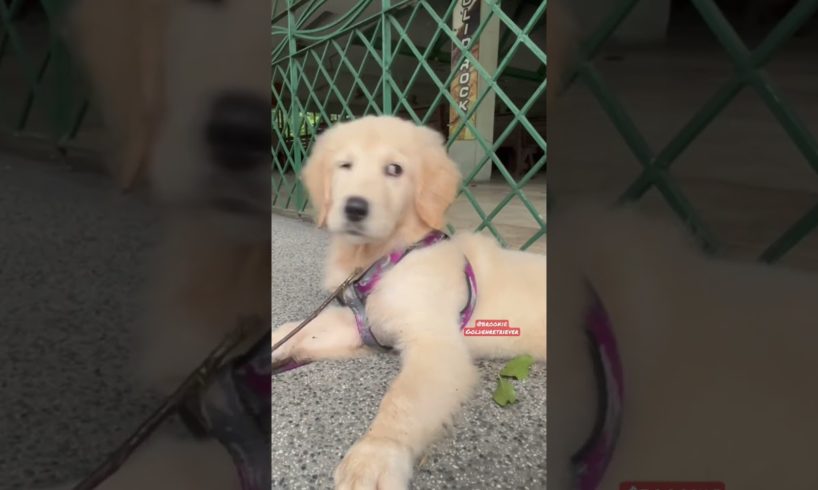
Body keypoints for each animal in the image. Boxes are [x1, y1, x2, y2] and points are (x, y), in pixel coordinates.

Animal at [270, 114, 544, 486]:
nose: (354, 207)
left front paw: (374, 457)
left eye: (394, 169)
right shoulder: (363, 323)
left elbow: (403, 401)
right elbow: (297, 327)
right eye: (345, 165)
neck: (382, 259)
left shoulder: (435, 344)